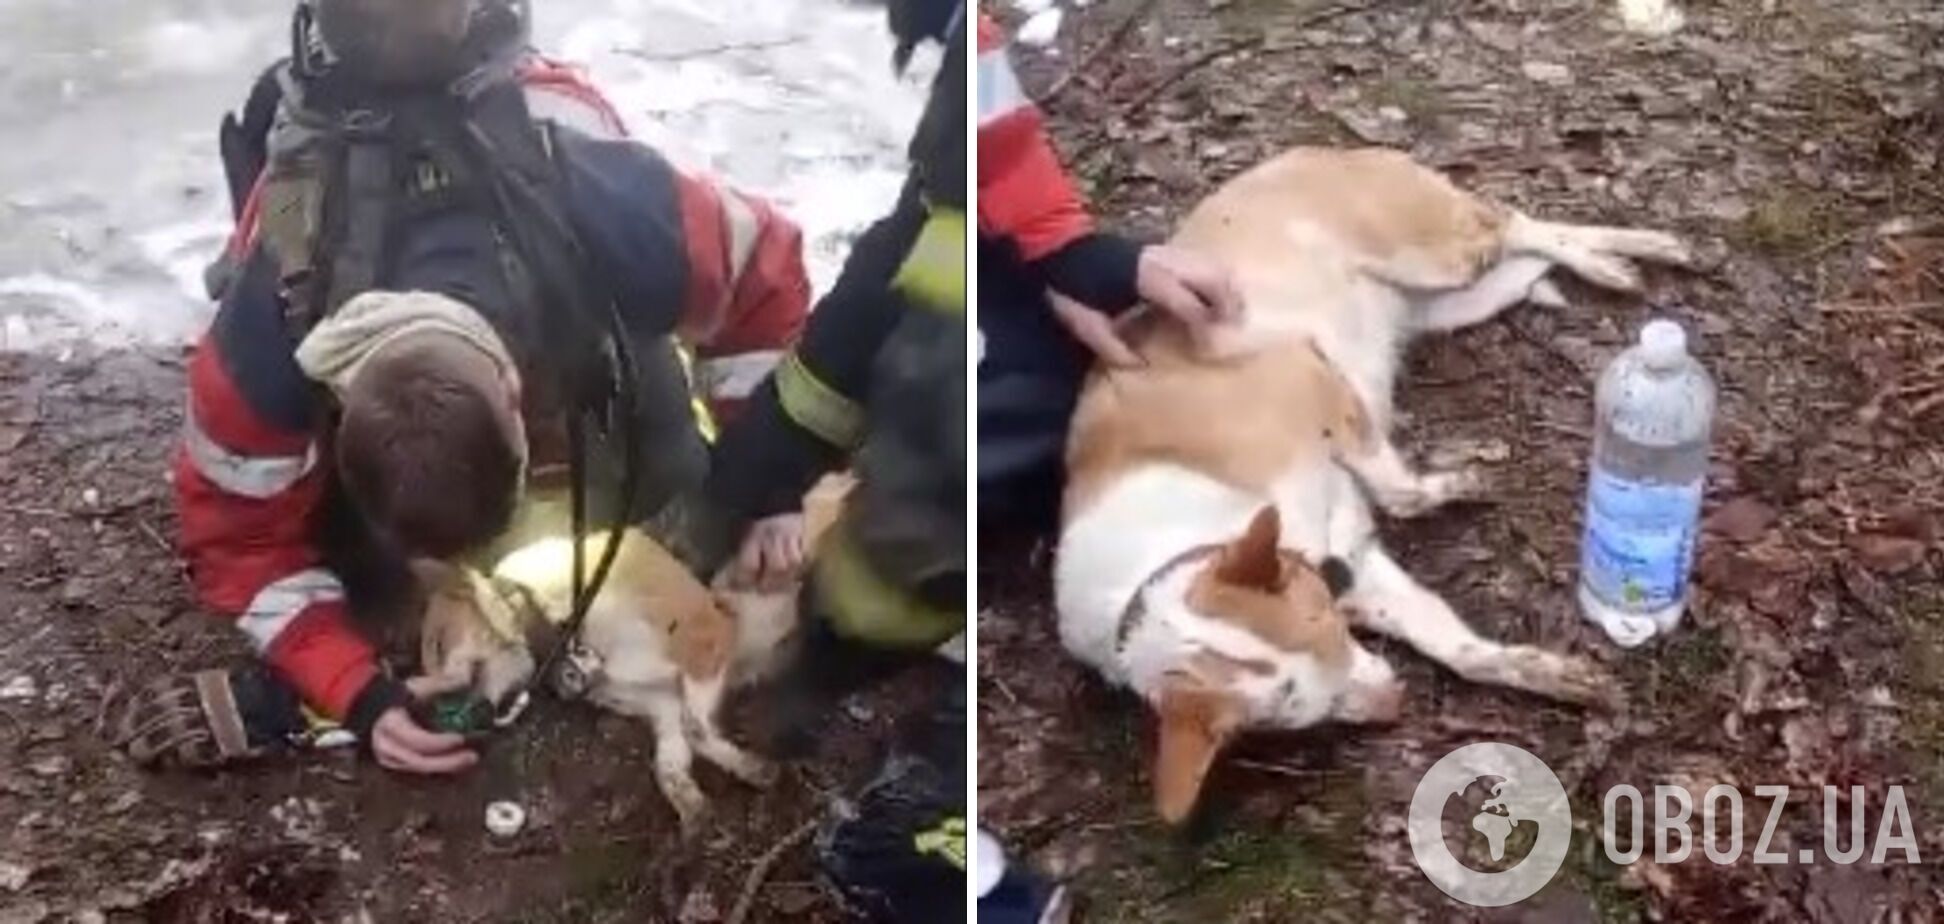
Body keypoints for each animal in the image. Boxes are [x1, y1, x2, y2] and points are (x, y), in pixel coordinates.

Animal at [417, 476, 851, 832]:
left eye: (437, 643)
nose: (423, 708)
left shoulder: (707, 640)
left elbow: (698, 728)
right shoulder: (663, 704)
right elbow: (673, 760)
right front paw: (706, 799)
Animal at [1049, 147, 1687, 828]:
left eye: (1330, 636)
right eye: (1300, 716)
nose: (1395, 702)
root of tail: (1309, 149)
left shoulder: (1310, 379)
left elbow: (1396, 488)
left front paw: (1457, 482)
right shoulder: (1359, 569)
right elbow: (1459, 647)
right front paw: (1537, 671)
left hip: (1439, 255)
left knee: (1514, 221)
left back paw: (1631, 253)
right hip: (1460, 298)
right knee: (1526, 249)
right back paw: (1611, 262)